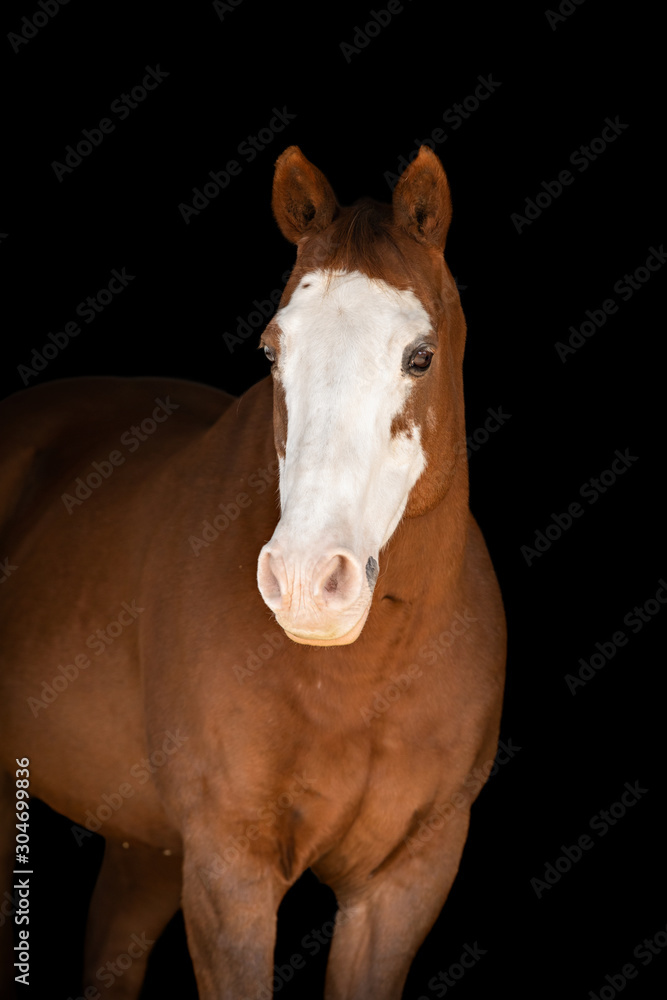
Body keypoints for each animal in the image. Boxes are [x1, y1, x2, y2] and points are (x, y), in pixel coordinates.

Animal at [0, 144, 506, 999]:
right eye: (272, 353)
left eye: (420, 356)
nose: (306, 581)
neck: (358, 681)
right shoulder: (228, 869)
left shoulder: (404, 882)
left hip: (143, 849)